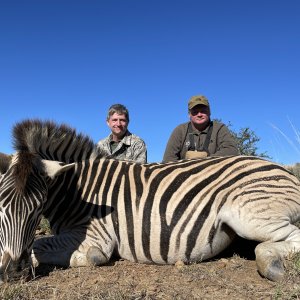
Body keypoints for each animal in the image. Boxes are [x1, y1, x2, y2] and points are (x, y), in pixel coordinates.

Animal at [0, 118, 300, 282]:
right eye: (1, 207)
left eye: (37, 209)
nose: (14, 272)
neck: (77, 191)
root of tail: (285, 172)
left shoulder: (99, 237)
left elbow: (43, 247)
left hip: (249, 215)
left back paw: (271, 262)